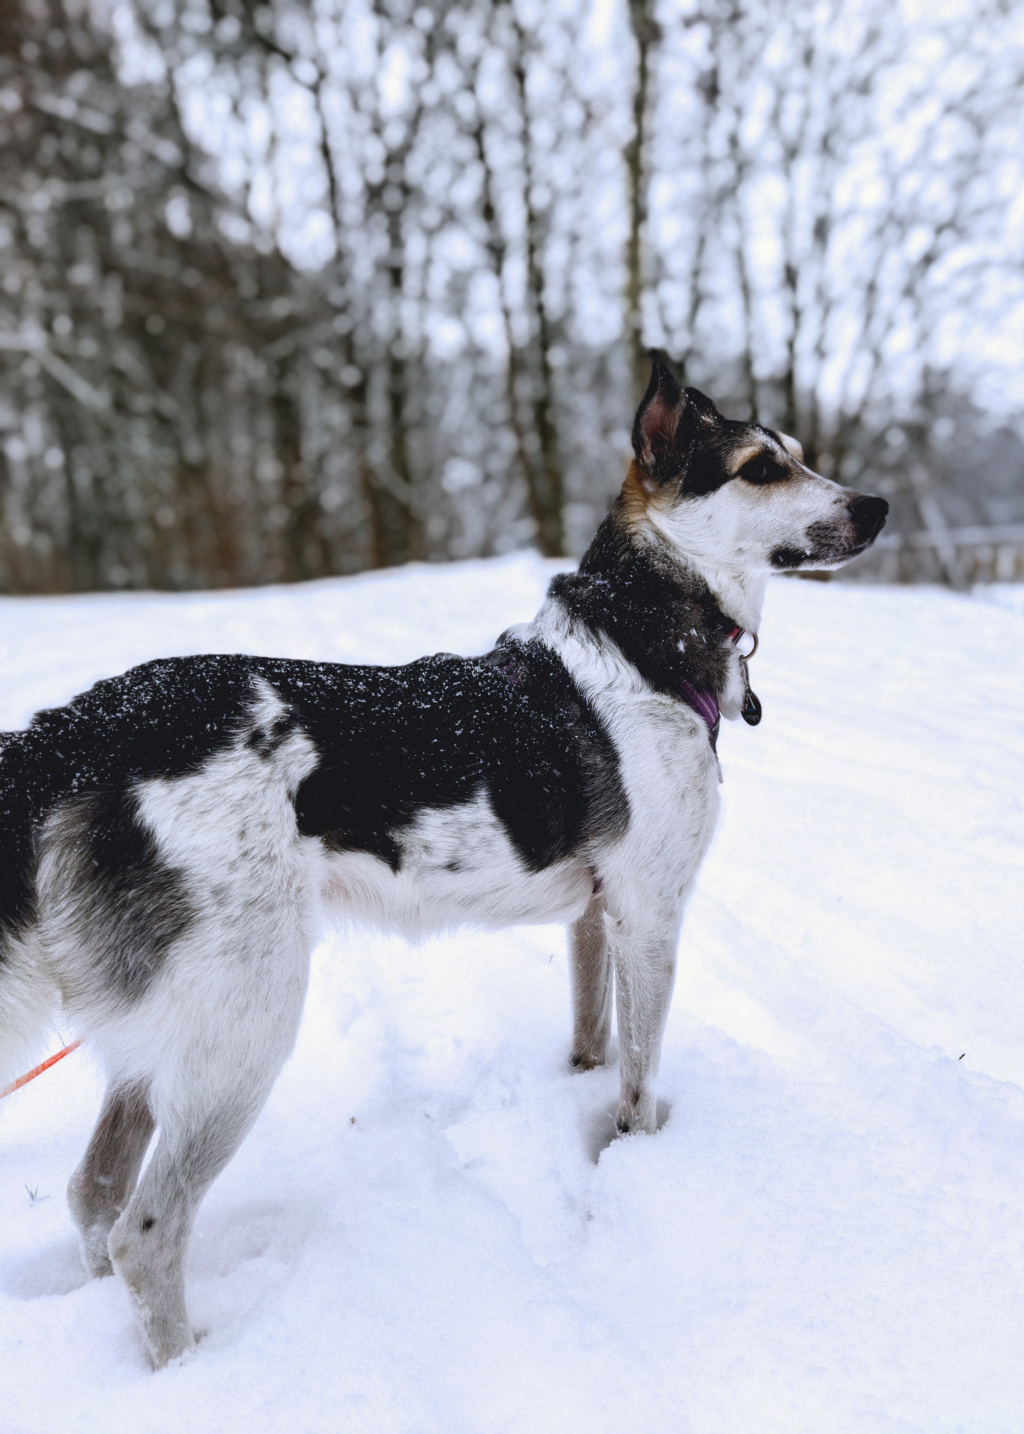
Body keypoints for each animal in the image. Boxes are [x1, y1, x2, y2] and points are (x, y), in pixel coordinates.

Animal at [0, 361, 883, 1365]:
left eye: (801, 456)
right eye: (760, 469)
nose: (878, 506)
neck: (639, 645)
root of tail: (73, 732)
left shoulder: (596, 916)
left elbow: (592, 1042)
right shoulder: (651, 915)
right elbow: (640, 1081)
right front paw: (643, 1159)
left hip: (167, 1034)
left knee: (95, 1193)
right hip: (245, 1023)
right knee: (145, 1230)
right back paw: (193, 1367)